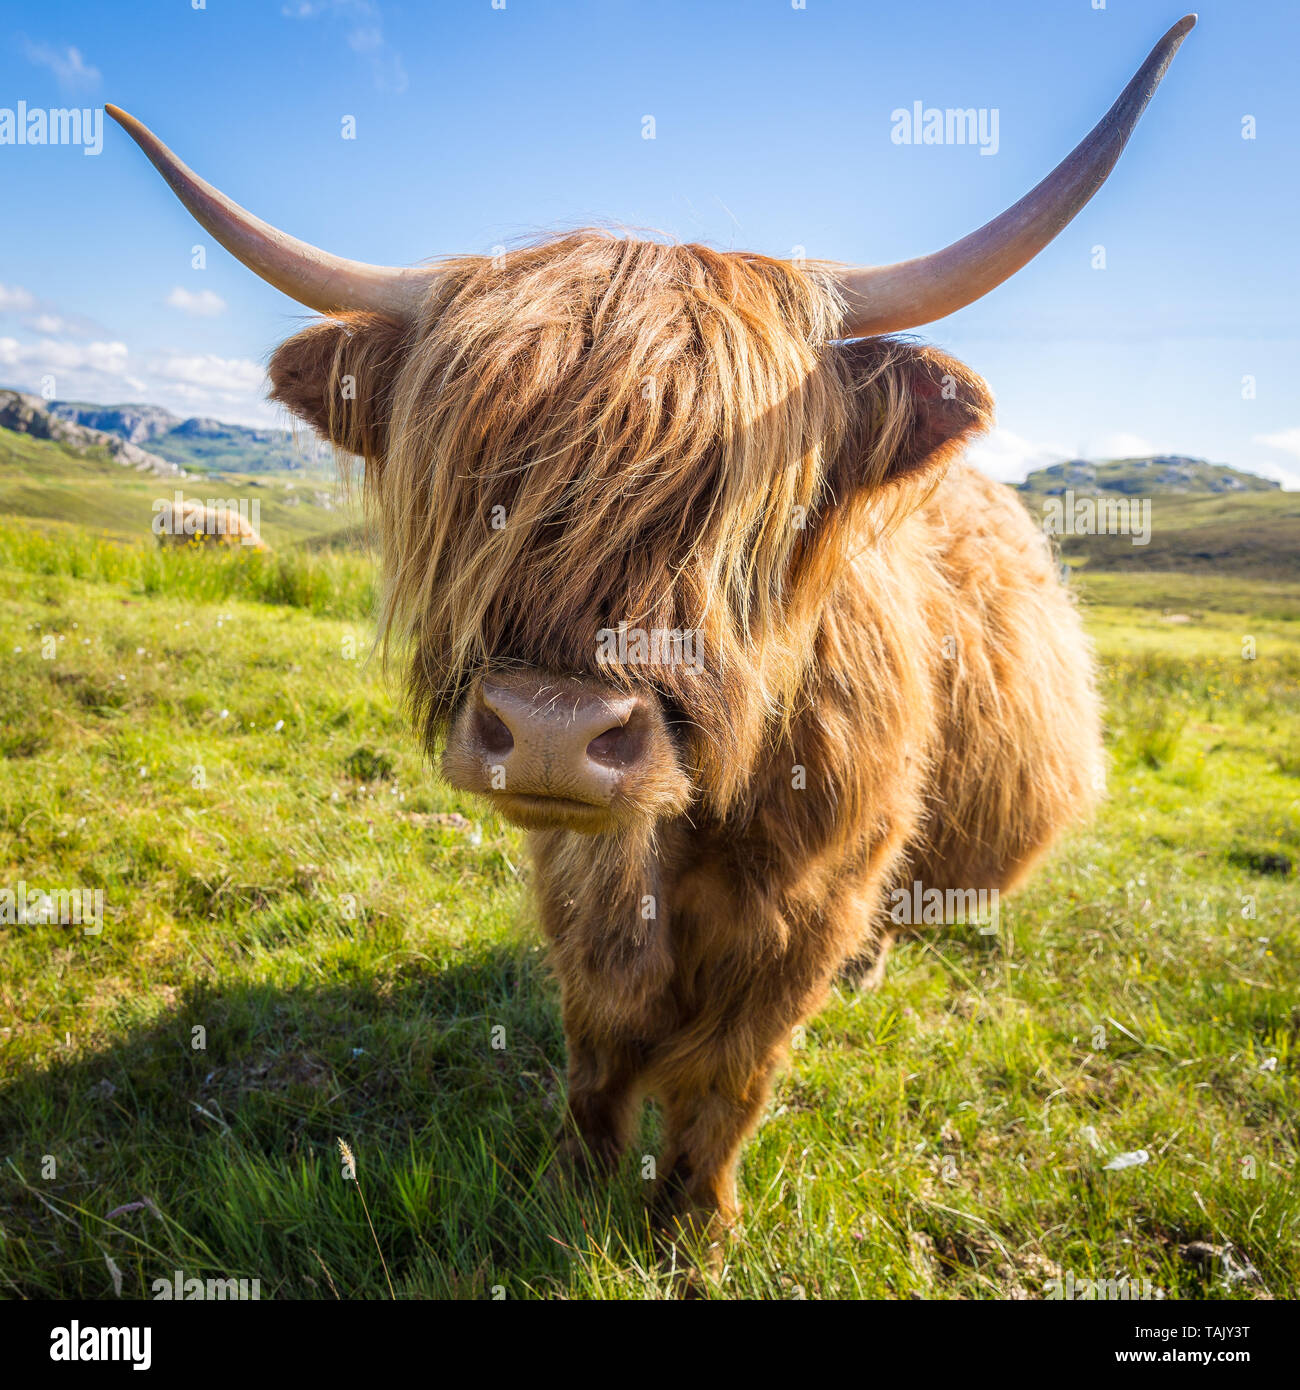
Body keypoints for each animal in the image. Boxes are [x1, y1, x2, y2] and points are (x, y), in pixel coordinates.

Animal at [111, 13, 1201, 1251]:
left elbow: (733, 1069)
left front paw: (694, 1223)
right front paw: (569, 1187)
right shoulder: (575, 878)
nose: (548, 731)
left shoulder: (814, 892)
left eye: (725, 496)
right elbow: (595, 1044)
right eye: (473, 474)